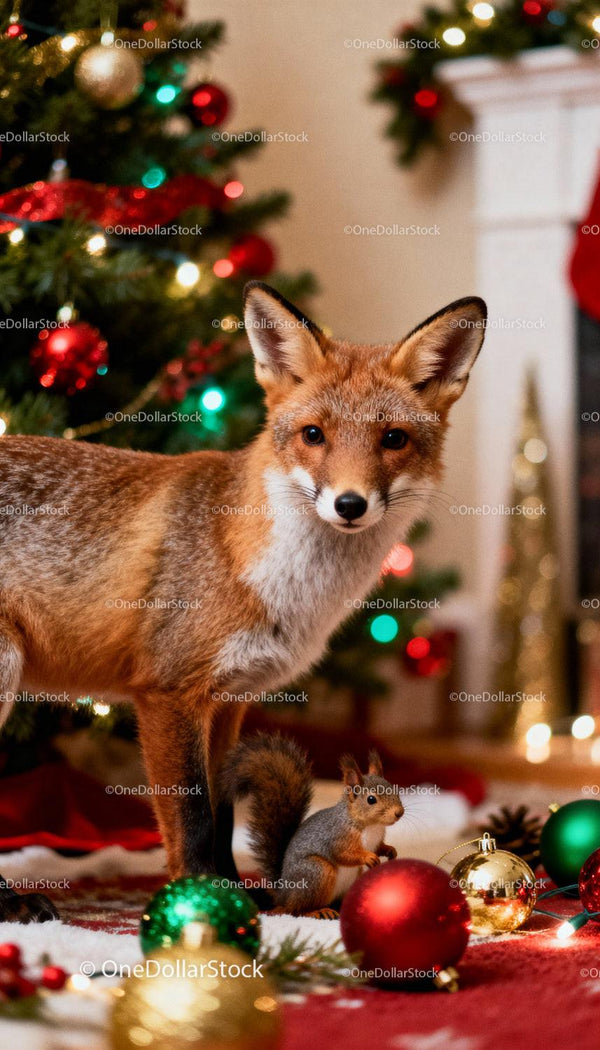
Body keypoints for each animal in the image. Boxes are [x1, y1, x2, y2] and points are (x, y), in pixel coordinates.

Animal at [0, 281, 486, 896]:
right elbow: (192, 818)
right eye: (313, 435)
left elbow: (224, 811)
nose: (349, 504)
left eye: (393, 439)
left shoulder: (229, 701)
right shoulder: (169, 692)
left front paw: (237, 893)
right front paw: (199, 900)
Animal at [222, 733, 404, 918]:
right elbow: (343, 853)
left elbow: (379, 847)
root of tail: (283, 895)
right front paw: (368, 857)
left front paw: (390, 850)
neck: (371, 825)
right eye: (371, 799)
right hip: (317, 871)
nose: (399, 812)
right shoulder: (338, 836)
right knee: (297, 910)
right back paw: (318, 911)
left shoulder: (376, 840)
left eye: (395, 790)